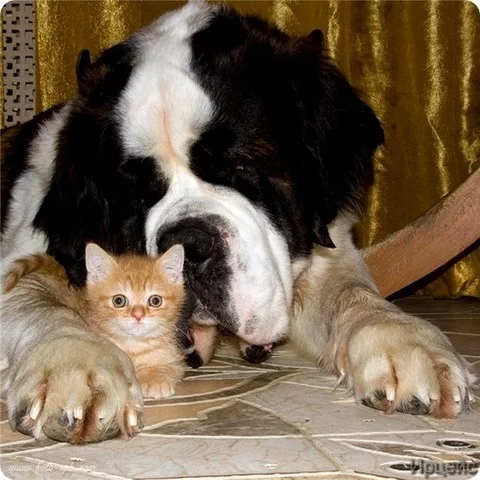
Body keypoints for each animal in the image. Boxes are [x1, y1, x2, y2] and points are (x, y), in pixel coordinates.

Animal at [1, 1, 475, 443]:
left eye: (243, 168)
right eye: (137, 194)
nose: (188, 246)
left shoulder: (323, 252)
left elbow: (351, 292)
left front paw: (402, 339)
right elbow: (41, 303)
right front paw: (78, 364)